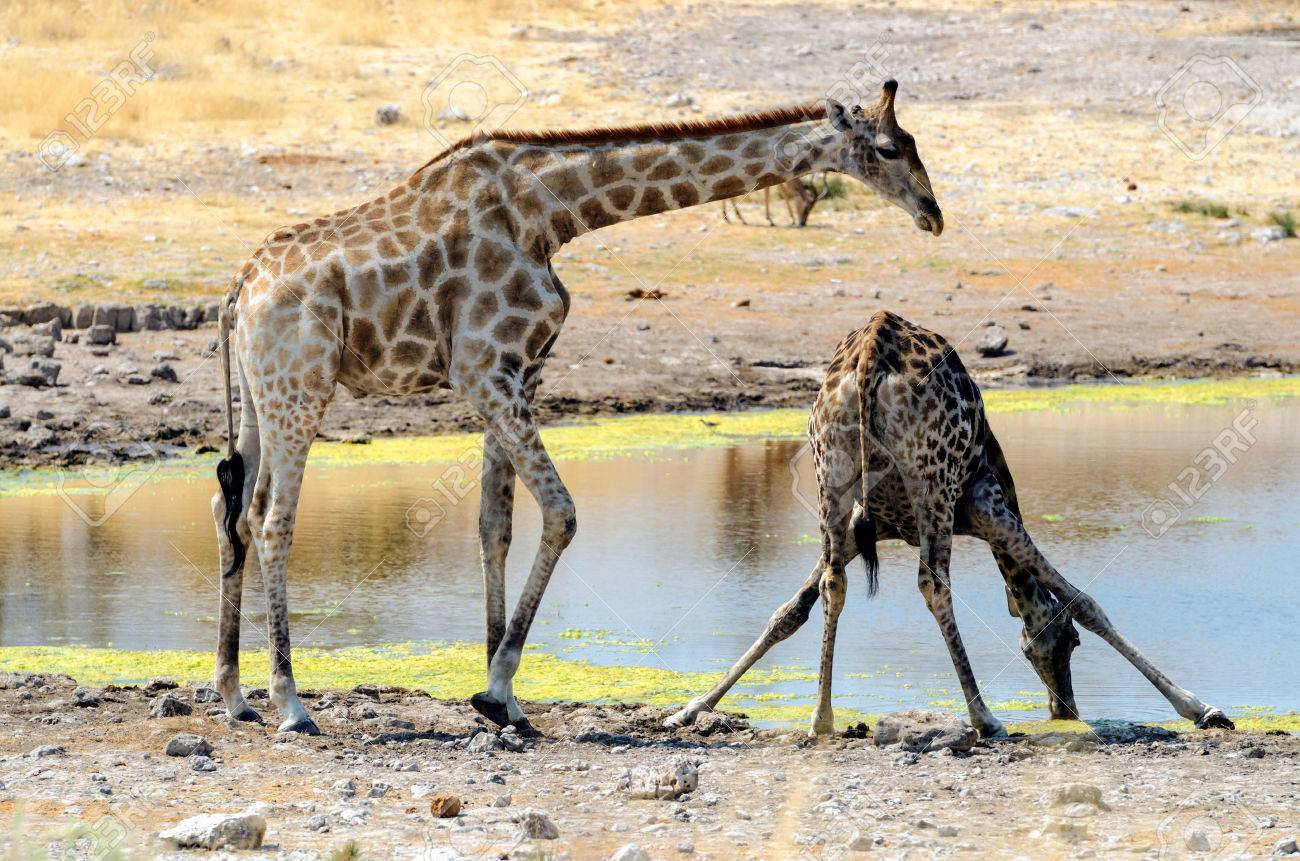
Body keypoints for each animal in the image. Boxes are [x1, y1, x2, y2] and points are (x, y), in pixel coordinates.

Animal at [210, 81, 943, 735]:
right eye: (887, 148)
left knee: (232, 508)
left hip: (258, 396)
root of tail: (238, 288)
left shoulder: (515, 371)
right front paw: (497, 687)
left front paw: (502, 697)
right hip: (300, 390)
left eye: (911, 143)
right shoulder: (482, 368)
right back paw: (290, 702)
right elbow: (561, 513)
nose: (933, 213)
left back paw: (234, 695)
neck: (550, 213)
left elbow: (494, 526)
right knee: (273, 521)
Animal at [665, 311, 1236, 739]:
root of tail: (871, 351)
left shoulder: (865, 523)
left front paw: (690, 708)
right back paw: (985, 718)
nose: (1064, 711)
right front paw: (1201, 708)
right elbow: (1084, 600)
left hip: (831, 473)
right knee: (933, 584)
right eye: (1067, 643)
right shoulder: (988, 507)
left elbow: (789, 612)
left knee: (834, 584)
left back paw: (822, 720)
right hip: (933, 483)